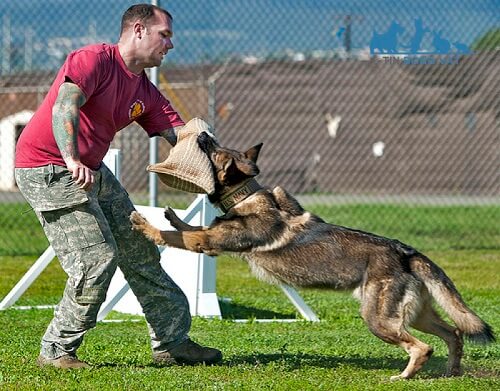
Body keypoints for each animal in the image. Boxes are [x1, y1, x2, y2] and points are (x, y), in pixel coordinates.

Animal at [130, 132, 496, 380]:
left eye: (215, 151)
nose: (204, 134)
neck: (245, 196)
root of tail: (405, 251)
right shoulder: (207, 238)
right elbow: (188, 226)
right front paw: (171, 216)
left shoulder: (207, 242)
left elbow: (180, 235)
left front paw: (145, 224)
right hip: (416, 314)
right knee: (455, 333)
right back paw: (451, 372)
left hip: (378, 319)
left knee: (423, 347)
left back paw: (404, 376)